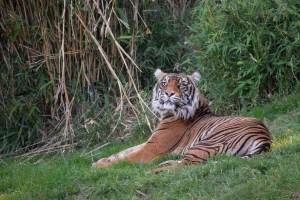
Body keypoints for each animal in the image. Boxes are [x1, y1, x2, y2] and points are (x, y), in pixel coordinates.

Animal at [92, 69, 272, 173]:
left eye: (181, 85)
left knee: (189, 165)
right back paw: (162, 164)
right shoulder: (148, 142)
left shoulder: (151, 148)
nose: (169, 93)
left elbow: (127, 158)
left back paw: (155, 171)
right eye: (164, 84)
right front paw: (103, 159)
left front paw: (98, 166)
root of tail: (264, 137)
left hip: (208, 142)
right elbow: (125, 151)